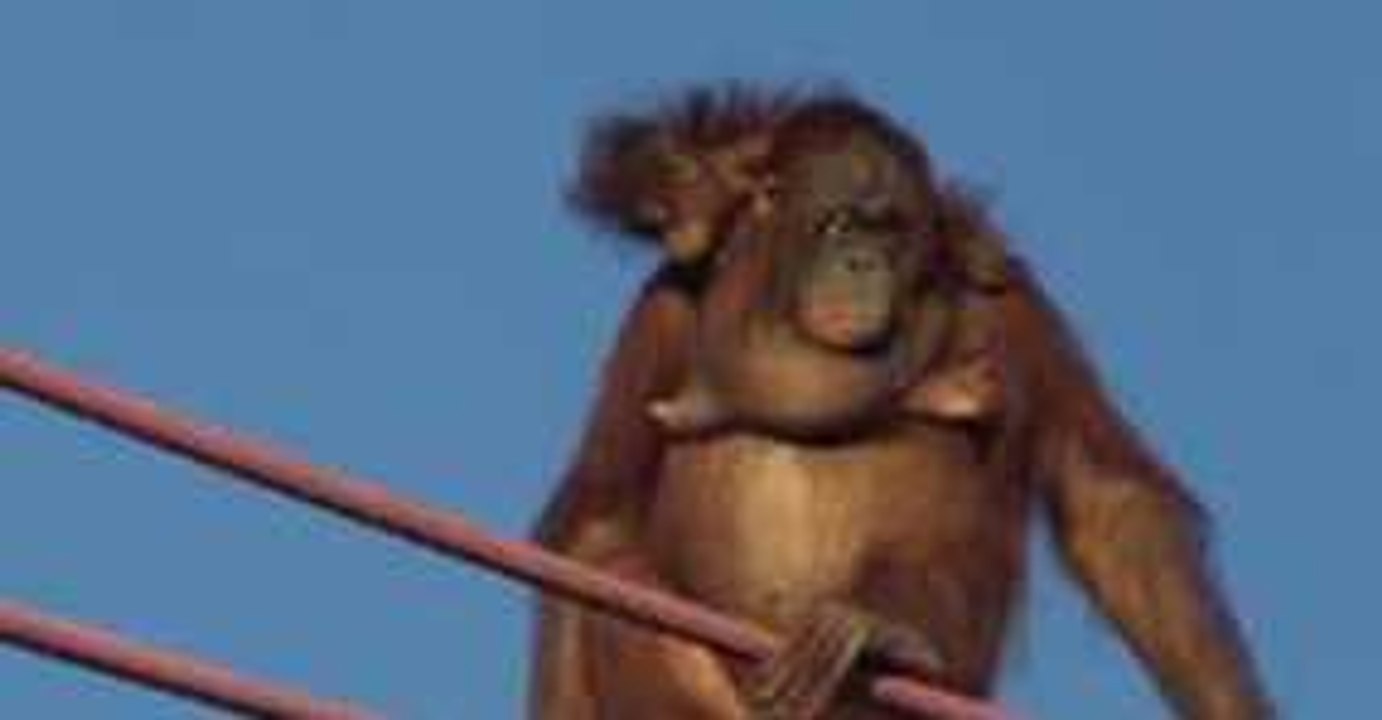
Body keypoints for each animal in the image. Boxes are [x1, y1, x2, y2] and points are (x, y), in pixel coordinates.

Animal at [532, 85, 1273, 719]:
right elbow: (597, 519)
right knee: (618, 575)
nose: (864, 265)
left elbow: (1110, 502)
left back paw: (887, 636)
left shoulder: (1010, 306)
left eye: (888, 230)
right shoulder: (664, 308)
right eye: (839, 226)